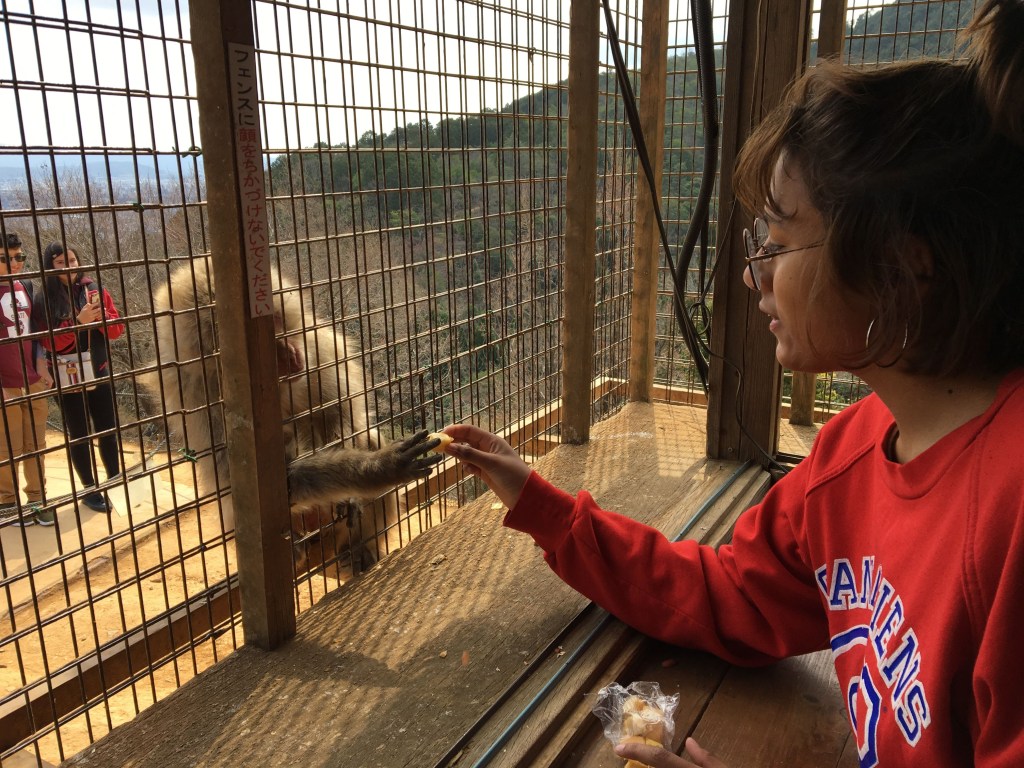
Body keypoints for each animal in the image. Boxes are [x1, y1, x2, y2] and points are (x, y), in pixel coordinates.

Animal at [144, 260, 440, 577]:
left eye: (274, 320)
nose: (286, 354)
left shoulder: (320, 345)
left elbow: (343, 416)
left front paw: (357, 485)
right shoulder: (195, 391)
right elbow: (234, 476)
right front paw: (375, 469)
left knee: (367, 437)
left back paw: (360, 546)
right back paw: (295, 545)